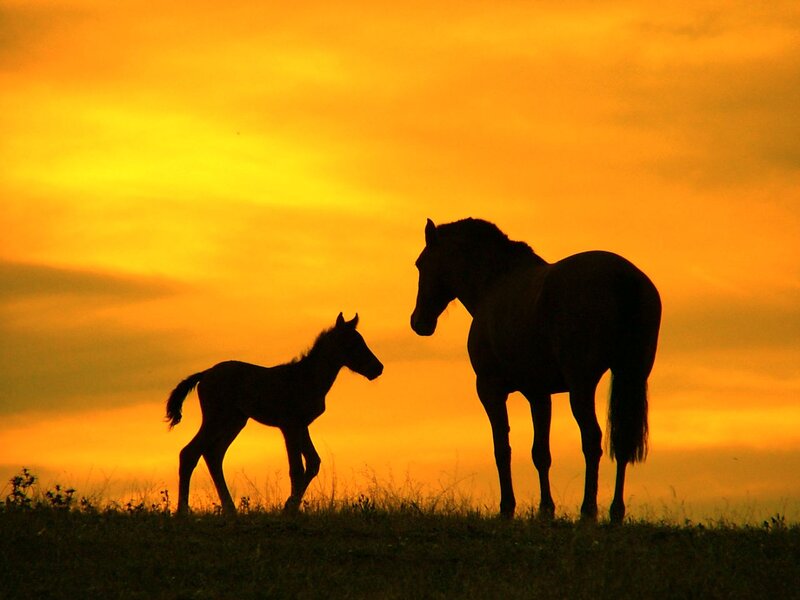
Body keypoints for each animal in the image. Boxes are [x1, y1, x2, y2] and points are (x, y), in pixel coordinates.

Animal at [165, 313, 384, 515]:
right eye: (352, 344)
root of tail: (205, 374)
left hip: (235, 421)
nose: (377, 368)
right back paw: (183, 511)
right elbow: (297, 469)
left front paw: (290, 506)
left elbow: (313, 463)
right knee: (189, 453)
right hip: (215, 419)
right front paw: (289, 509)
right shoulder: (289, 425)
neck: (306, 377)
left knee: (213, 455)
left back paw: (230, 509)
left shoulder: (302, 426)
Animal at [410, 218, 661, 523]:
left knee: (592, 439)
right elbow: (541, 453)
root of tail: (625, 279)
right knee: (622, 440)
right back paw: (615, 512)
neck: (494, 284)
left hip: (582, 384)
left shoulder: (490, 389)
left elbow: (502, 448)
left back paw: (588, 511)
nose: (419, 322)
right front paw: (545, 510)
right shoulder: (539, 393)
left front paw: (507, 508)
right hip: (631, 375)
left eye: (421, 264)